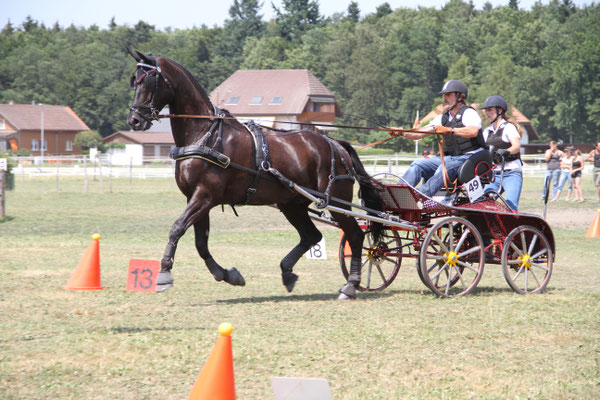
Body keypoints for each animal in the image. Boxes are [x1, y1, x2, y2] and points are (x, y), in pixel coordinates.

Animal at [125, 50, 384, 298]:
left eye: (148, 81)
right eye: (133, 81)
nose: (134, 120)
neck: (206, 134)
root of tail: (336, 145)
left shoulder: (204, 196)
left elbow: (177, 228)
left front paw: (164, 273)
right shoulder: (196, 198)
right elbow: (201, 243)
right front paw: (227, 274)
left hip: (335, 201)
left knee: (354, 235)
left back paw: (351, 285)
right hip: (292, 203)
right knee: (311, 236)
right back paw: (288, 272)